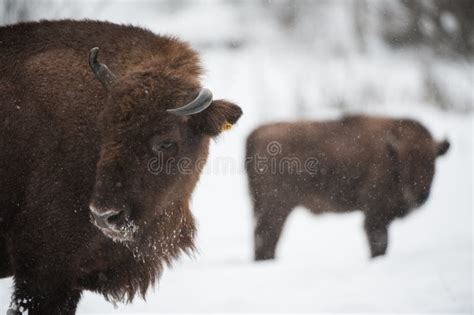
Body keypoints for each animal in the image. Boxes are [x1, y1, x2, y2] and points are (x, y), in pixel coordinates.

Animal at [246, 116, 450, 262]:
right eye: (405, 163)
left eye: (432, 163)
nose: (419, 195)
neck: (391, 153)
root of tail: (256, 133)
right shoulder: (375, 215)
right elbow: (379, 243)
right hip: (277, 207)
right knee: (266, 237)